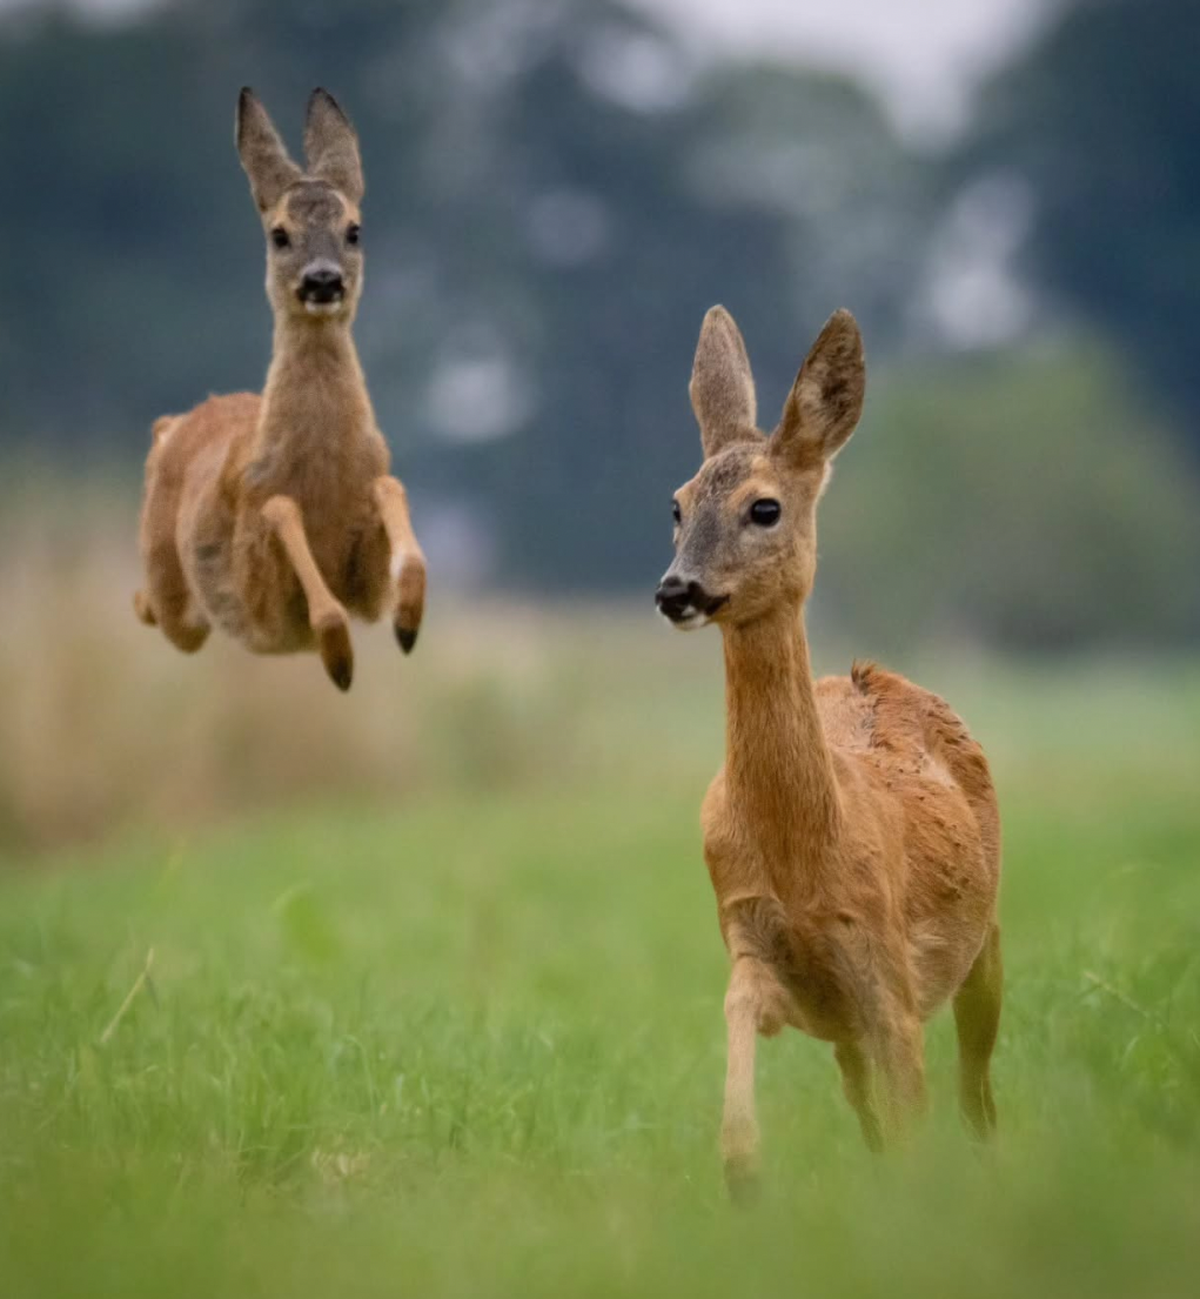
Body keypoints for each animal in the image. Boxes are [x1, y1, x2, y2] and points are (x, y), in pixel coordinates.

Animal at [133, 87, 425, 691]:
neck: (322, 478)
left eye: (354, 230)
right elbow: (279, 512)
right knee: (149, 604)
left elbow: (391, 491)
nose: (323, 280)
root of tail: (178, 424)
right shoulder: (256, 593)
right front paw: (339, 660)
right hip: (176, 591)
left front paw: (408, 627)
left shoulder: (368, 580)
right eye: (279, 234)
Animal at [655, 305, 1002, 1199]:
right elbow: (737, 1014)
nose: (676, 590)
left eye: (765, 508)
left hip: (987, 932)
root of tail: (872, 672)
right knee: (874, 1105)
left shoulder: (886, 971)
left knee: (975, 1083)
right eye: (676, 504)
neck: (803, 858)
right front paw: (742, 1165)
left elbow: (916, 1112)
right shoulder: (756, 941)